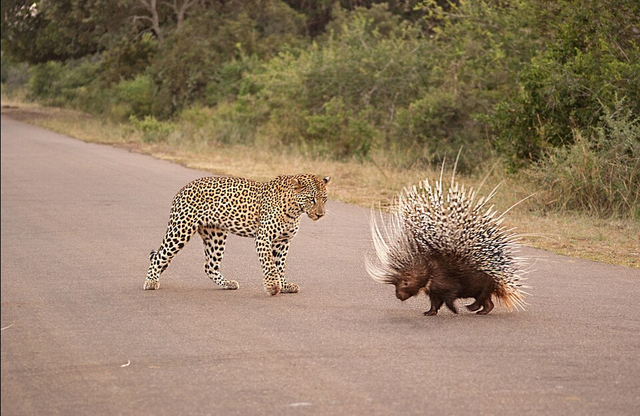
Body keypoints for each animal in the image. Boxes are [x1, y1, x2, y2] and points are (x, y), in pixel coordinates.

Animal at [142, 174, 328, 294]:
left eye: (324, 199)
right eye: (311, 199)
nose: (320, 214)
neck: (295, 209)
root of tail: (182, 190)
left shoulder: (283, 241)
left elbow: (280, 265)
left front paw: (284, 285)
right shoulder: (264, 237)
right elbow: (269, 264)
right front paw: (273, 287)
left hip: (215, 235)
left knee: (209, 266)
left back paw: (227, 284)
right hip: (181, 229)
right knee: (160, 256)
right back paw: (151, 281)